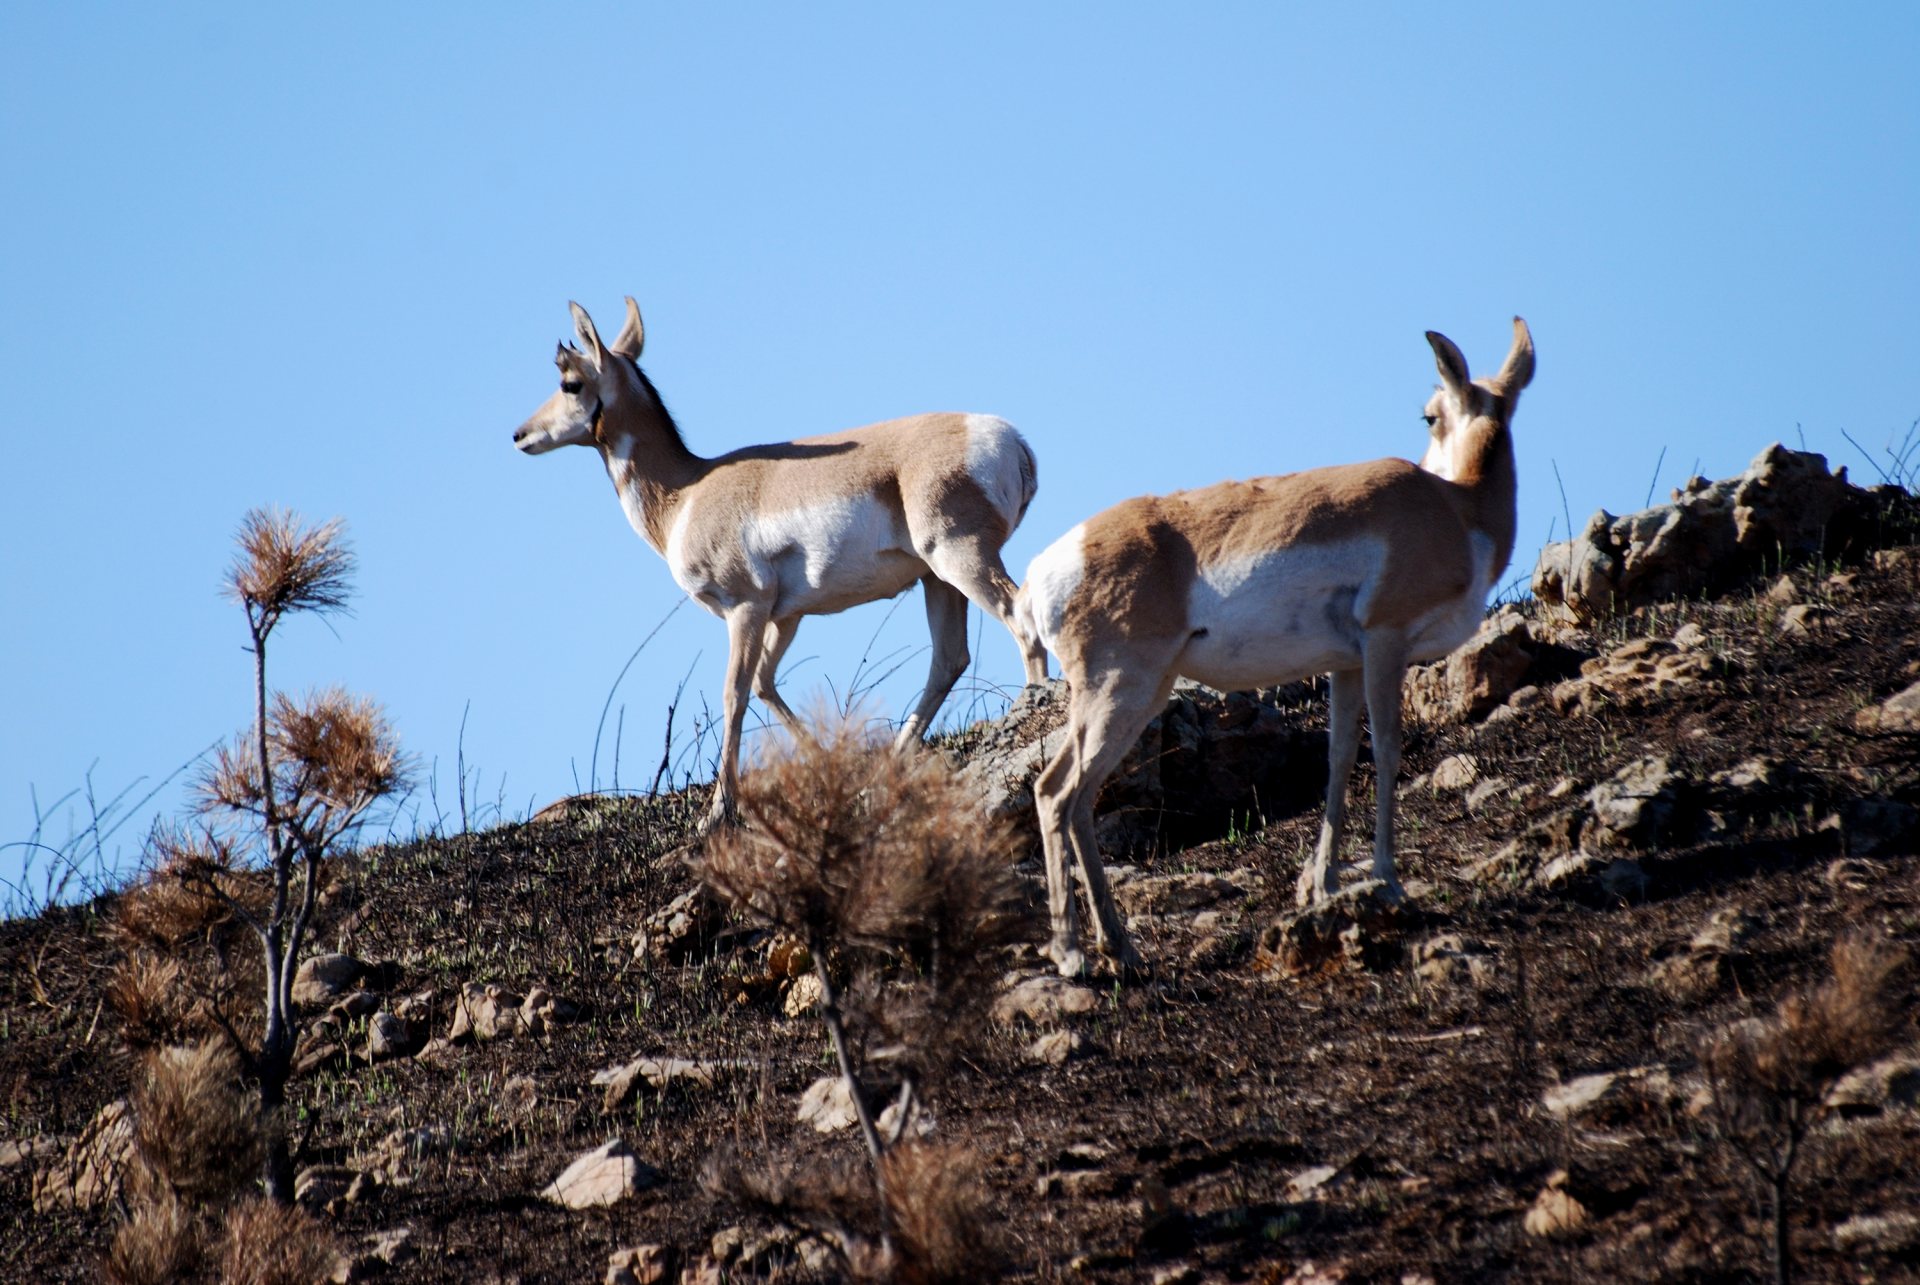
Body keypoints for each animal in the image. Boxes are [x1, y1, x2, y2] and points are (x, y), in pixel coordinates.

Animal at [510, 297, 1052, 825]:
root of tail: (1012, 440)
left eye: (570, 381)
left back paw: (1033, 709)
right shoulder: (786, 617)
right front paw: (821, 758)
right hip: (936, 579)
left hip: (960, 557)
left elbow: (734, 693)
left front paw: (719, 812)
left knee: (1017, 616)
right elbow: (766, 684)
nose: (519, 435)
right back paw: (896, 757)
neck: (687, 492)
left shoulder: (745, 609)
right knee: (949, 658)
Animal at [1021, 320, 1528, 971]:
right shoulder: (1385, 642)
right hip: (1118, 693)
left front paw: (1324, 887)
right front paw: (1388, 882)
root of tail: (1049, 565)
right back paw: (1072, 954)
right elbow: (1388, 749)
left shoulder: (1346, 666)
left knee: (1075, 797)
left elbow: (1342, 757)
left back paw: (1121, 949)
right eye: (1429, 415)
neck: (1456, 510)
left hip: (1137, 695)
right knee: (1056, 793)